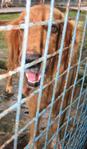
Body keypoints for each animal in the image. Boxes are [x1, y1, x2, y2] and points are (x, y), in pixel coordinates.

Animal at [2, 4, 79, 148]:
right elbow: (35, 132)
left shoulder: (62, 102)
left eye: (53, 28)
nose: (30, 59)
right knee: (9, 71)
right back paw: (9, 87)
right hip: (13, 59)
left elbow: (57, 126)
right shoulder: (34, 107)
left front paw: (56, 142)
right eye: (23, 27)